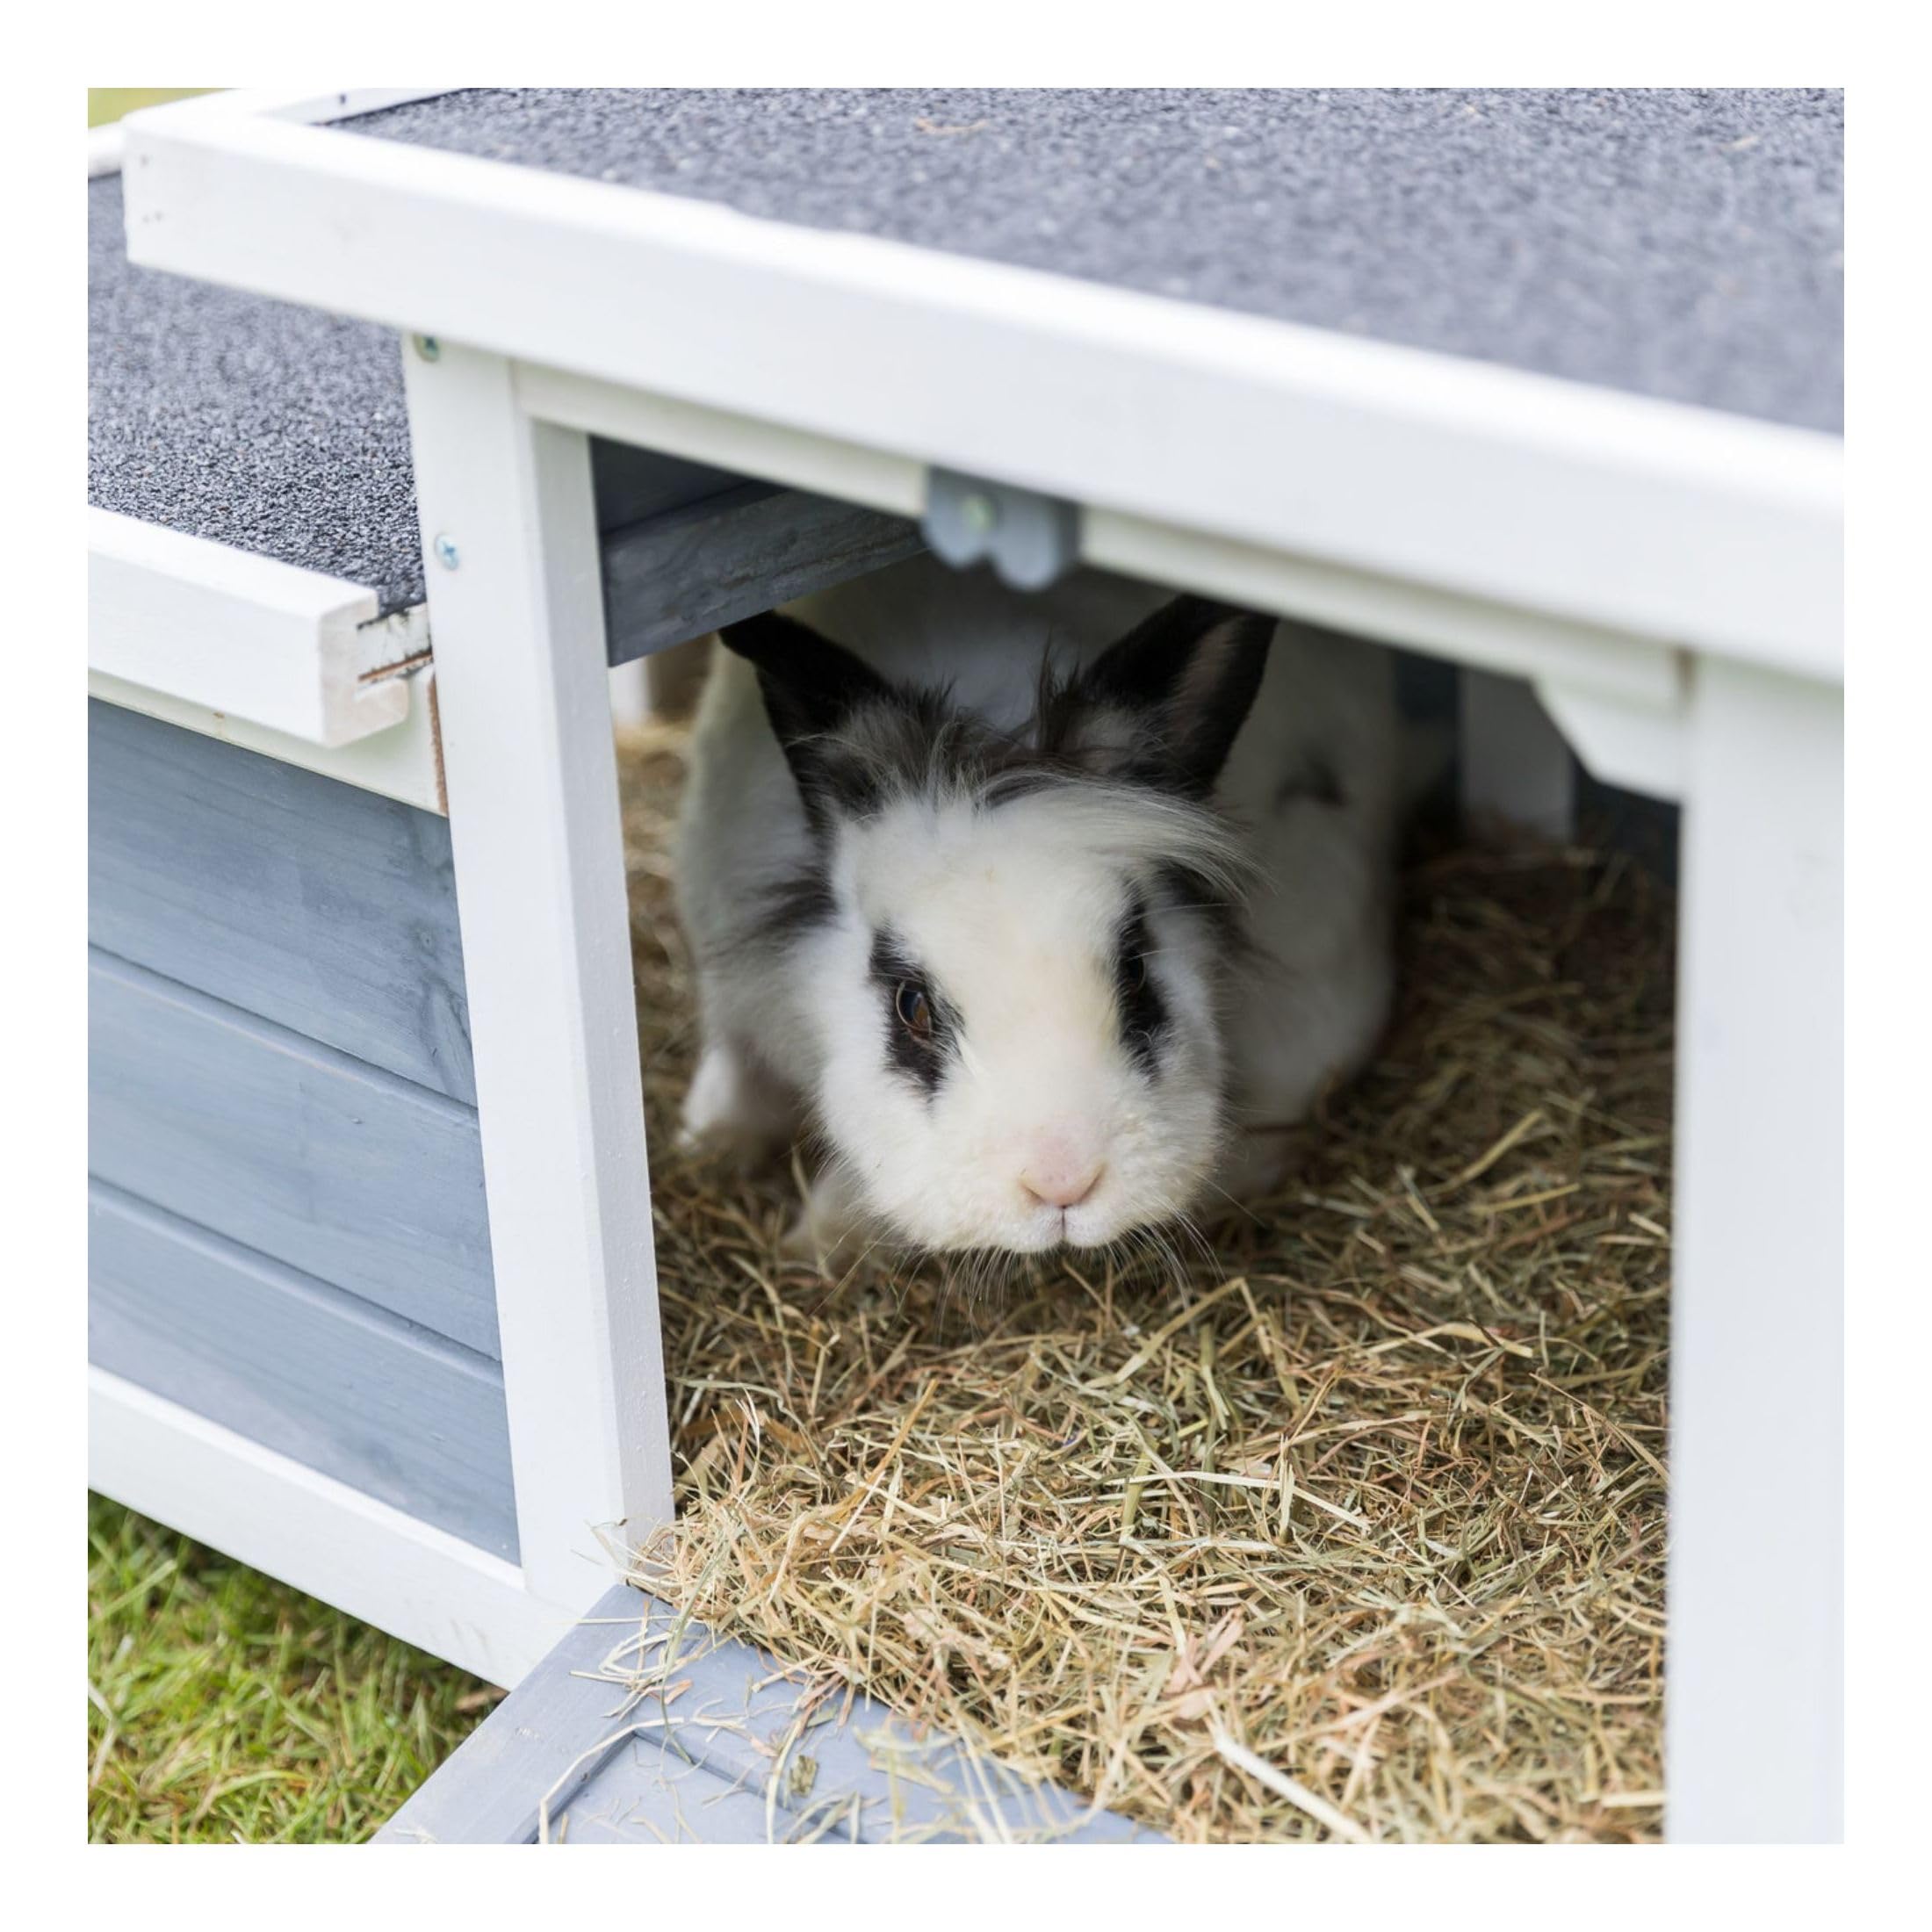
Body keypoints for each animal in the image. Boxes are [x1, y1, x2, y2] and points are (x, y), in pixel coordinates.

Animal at [672, 552, 1402, 1266]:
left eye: (1135, 971)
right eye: (912, 1004)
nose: (1063, 1183)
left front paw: (824, 1237)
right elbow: (735, 1067)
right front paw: (732, 1166)